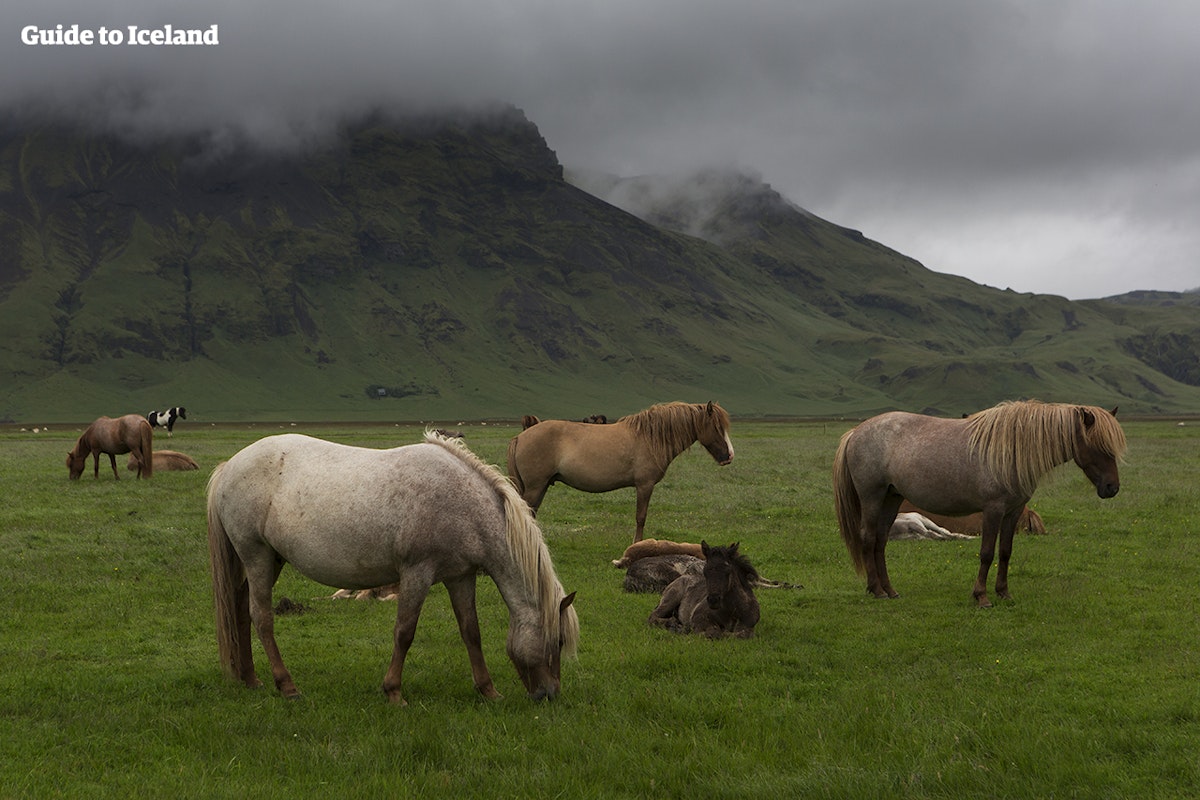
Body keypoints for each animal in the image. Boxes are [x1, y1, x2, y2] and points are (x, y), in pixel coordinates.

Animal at [205, 429, 576, 705]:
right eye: (558, 641)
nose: (549, 694)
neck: (462, 503)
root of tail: (230, 465)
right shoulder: (417, 573)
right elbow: (404, 632)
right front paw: (394, 692)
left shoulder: (460, 577)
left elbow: (471, 632)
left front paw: (488, 690)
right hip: (256, 556)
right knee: (261, 617)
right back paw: (287, 685)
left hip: (268, 560)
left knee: (240, 610)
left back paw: (250, 678)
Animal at [506, 400, 729, 544]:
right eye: (717, 427)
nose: (729, 456)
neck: (650, 437)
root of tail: (521, 436)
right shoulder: (644, 486)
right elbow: (641, 516)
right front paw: (636, 544)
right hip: (535, 487)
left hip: (541, 486)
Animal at [835, 400, 1123, 606]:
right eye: (1098, 446)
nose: (1112, 488)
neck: (1012, 449)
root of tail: (856, 432)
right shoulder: (992, 510)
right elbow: (986, 553)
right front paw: (981, 596)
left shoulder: (1012, 512)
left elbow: (1005, 552)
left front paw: (1004, 593)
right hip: (872, 497)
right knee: (868, 537)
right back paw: (876, 590)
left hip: (892, 498)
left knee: (881, 540)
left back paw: (890, 590)